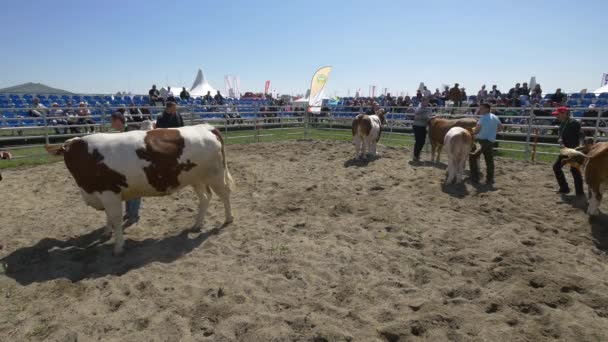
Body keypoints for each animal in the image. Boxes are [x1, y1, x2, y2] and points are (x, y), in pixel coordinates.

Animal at [45, 123, 233, 254]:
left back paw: (228, 219)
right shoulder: (104, 195)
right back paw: (196, 225)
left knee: (225, 194)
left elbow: (115, 219)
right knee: (205, 198)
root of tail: (206, 127)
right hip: (196, 179)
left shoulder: (109, 193)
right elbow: (108, 217)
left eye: (71, 153)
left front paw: (118, 247)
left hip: (215, 175)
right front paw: (106, 233)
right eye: (65, 153)